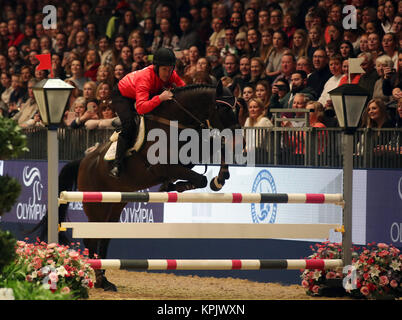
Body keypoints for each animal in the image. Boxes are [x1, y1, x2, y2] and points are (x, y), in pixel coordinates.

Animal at [35, 81, 242, 292]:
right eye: (223, 108)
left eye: (238, 108)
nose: (237, 133)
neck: (175, 122)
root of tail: (83, 161)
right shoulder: (163, 166)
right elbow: (200, 179)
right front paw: (178, 186)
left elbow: (216, 150)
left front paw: (219, 178)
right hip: (96, 205)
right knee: (92, 238)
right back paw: (98, 278)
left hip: (115, 205)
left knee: (105, 237)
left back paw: (104, 280)